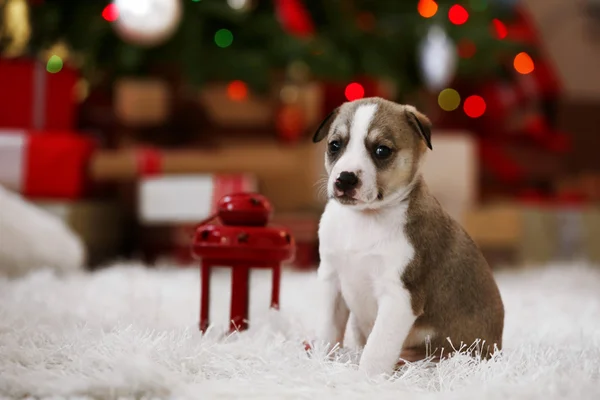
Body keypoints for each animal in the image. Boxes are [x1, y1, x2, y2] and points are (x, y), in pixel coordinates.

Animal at [312, 98, 504, 376]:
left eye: (382, 151)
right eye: (335, 145)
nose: (345, 179)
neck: (364, 219)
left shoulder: (399, 296)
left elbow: (377, 348)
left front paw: (365, 378)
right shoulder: (331, 280)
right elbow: (327, 331)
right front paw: (319, 364)